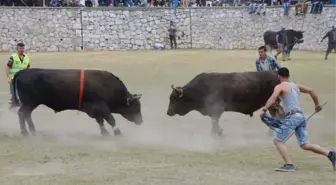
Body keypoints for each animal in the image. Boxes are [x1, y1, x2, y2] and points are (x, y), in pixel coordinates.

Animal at [10, 68, 143, 137]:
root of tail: (24, 71)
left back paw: (33, 131)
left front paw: (104, 133)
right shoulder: (101, 107)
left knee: (26, 115)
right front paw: (118, 133)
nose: (141, 121)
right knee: (22, 113)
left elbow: (100, 121)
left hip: (31, 104)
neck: (107, 86)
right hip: (29, 103)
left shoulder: (95, 110)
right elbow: (111, 119)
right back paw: (25, 133)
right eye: (136, 107)